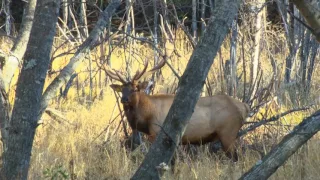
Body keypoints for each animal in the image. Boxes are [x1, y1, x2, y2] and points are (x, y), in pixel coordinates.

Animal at [104, 59, 249, 161]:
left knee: (236, 158)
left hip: (228, 132)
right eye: (122, 89)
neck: (147, 117)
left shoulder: (158, 133)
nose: (124, 99)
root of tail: (244, 107)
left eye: (135, 89)